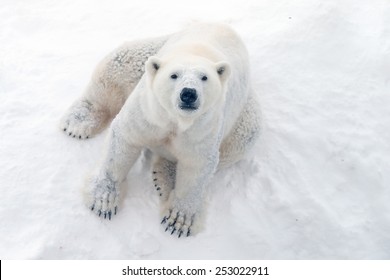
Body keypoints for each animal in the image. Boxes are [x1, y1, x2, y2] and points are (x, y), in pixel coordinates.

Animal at [61, 23, 260, 237]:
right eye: (174, 75)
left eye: (204, 77)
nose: (188, 94)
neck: (175, 120)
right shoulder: (148, 110)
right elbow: (124, 139)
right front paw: (104, 201)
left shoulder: (203, 128)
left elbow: (198, 164)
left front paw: (179, 221)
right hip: (149, 55)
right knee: (119, 63)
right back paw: (78, 122)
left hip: (242, 116)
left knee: (244, 139)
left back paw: (165, 177)